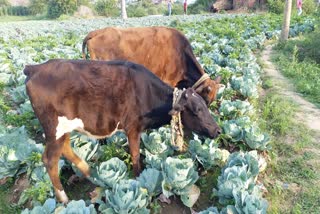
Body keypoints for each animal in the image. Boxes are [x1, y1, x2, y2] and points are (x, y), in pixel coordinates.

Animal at [23, 59, 221, 203]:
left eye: (205, 105)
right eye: (197, 110)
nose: (218, 130)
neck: (147, 93)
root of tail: (35, 68)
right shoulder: (132, 128)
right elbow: (135, 155)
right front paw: (138, 180)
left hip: (63, 129)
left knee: (65, 148)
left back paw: (89, 172)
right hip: (54, 129)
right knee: (49, 160)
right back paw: (64, 198)